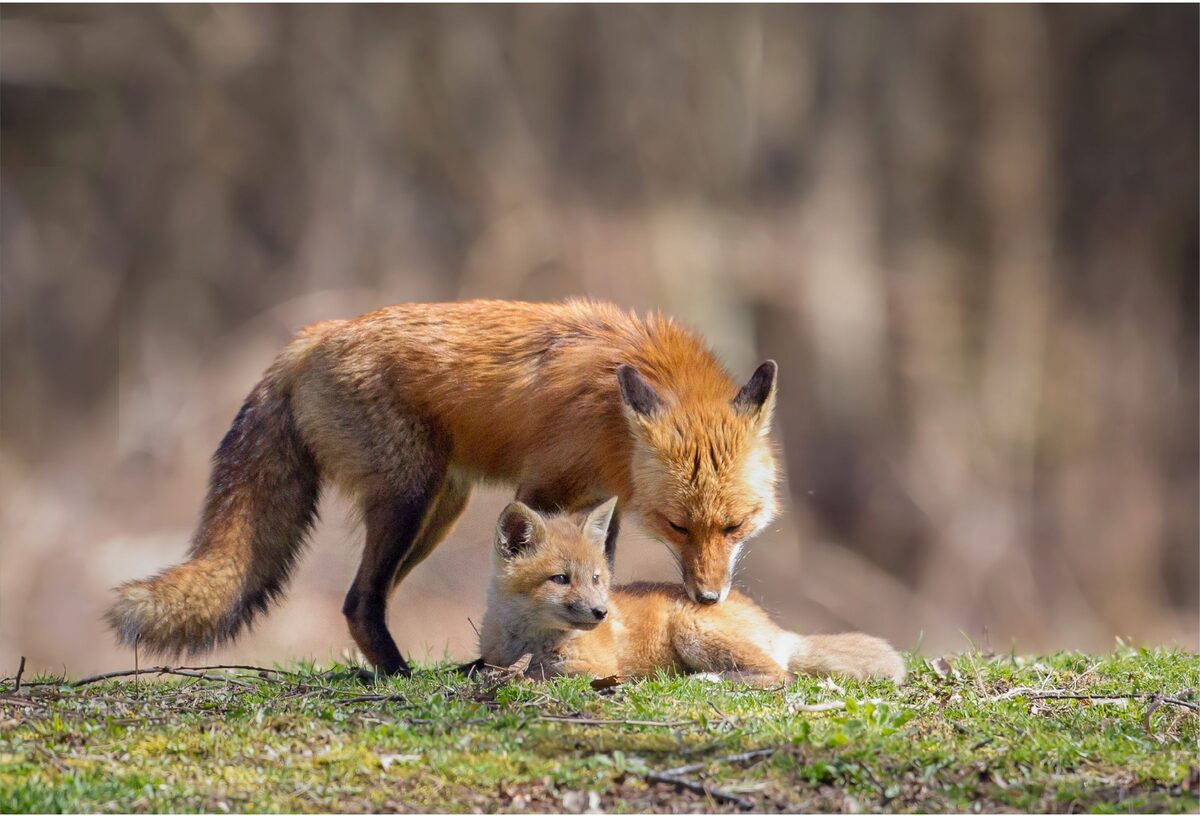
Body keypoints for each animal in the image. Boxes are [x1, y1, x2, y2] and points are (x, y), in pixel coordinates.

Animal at [107, 299, 782, 676]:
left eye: (735, 526)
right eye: (677, 525)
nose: (708, 599)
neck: (612, 425)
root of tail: (316, 333)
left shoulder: (600, 504)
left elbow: (603, 570)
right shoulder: (543, 487)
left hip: (438, 512)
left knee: (364, 601)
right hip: (410, 498)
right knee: (359, 600)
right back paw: (404, 677)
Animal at [479, 499, 906, 684]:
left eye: (597, 578)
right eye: (561, 579)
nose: (602, 613)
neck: (529, 640)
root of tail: (774, 627)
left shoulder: (593, 669)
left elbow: (542, 674)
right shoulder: (493, 657)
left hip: (692, 631)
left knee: (779, 675)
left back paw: (701, 680)